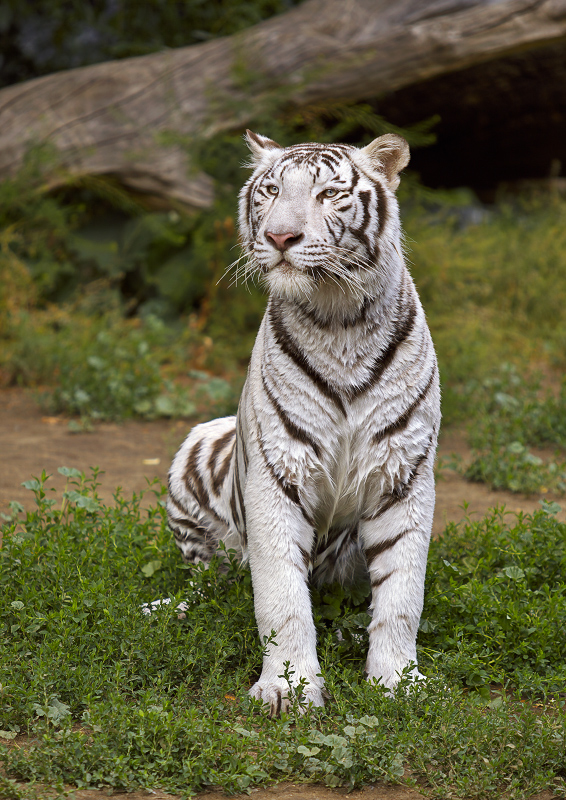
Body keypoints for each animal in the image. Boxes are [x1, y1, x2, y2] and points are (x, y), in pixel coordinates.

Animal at [166, 128, 442, 716]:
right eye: (271, 190)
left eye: (329, 194)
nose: (280, 235)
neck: (340, 319)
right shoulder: (277, 473)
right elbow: (280, 596)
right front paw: (288, 688)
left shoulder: (404, 473)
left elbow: (403, 595)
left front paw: (398, 682)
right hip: (197, 451)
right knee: (208, 581)